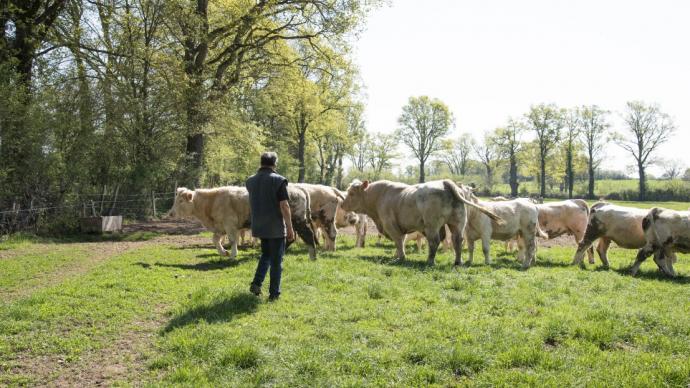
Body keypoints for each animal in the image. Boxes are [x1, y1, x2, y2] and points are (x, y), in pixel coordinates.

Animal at [342, 180, 502, 266]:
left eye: (351, 193)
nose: (342, 205)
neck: (379, 196)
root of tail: (445, 182)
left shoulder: (391, 226)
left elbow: (399, 241)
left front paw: (400, 258)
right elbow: (402, 241)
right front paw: (397, 255)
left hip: (432, 225)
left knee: (434, 241)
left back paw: (430, 261)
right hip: (457, 223)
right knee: (457, 241)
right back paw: (458, 262)